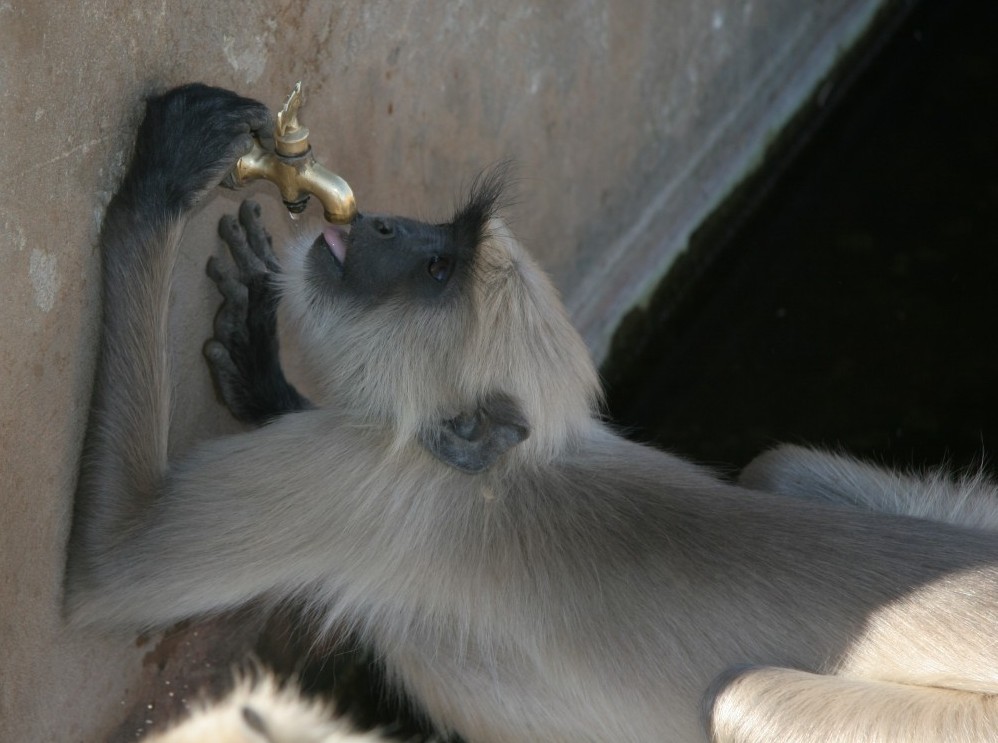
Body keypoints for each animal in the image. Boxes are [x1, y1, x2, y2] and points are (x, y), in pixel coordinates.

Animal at [70, 84, 998, 740]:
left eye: (436, 267)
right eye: (428, 238)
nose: (379, 221)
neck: (511, 473)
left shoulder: (357, 484)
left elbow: (108, 567)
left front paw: (160, 181)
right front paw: (264, 371)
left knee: (743, 696)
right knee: (779, 465)